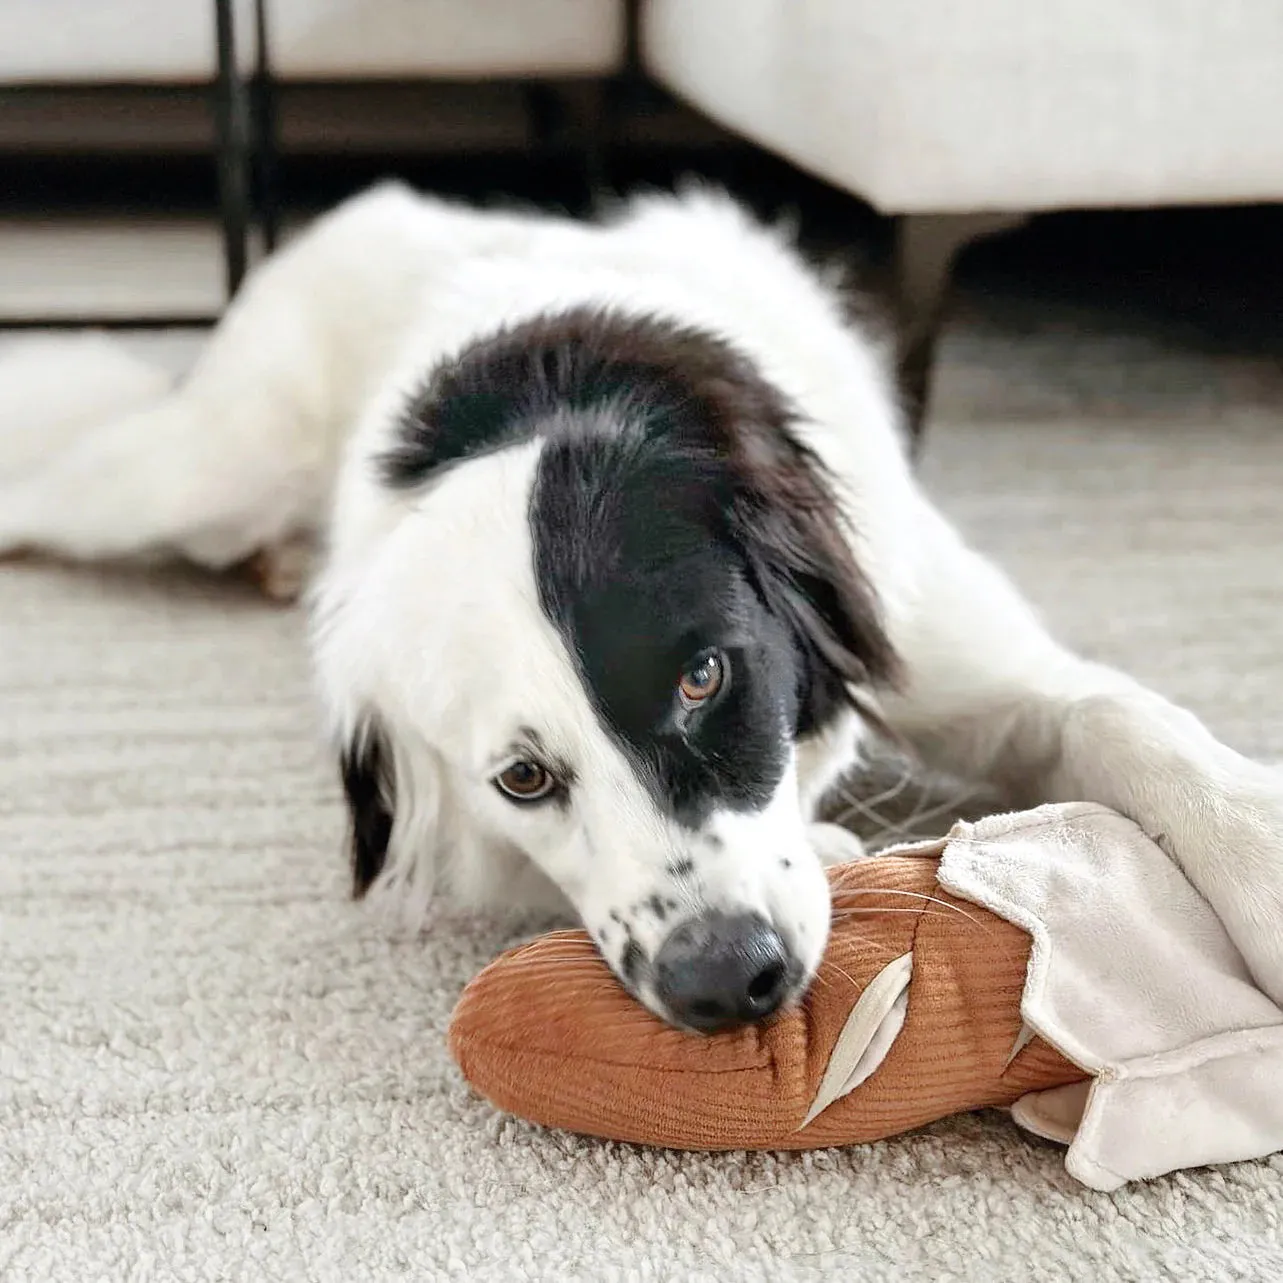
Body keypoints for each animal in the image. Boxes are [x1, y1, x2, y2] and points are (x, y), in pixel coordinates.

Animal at [2, 180, 1283, 1026]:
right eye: (523, 777)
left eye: (703, 676)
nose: (726, 982)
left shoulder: (957, 645)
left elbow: (1129, 719)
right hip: (202, 470)